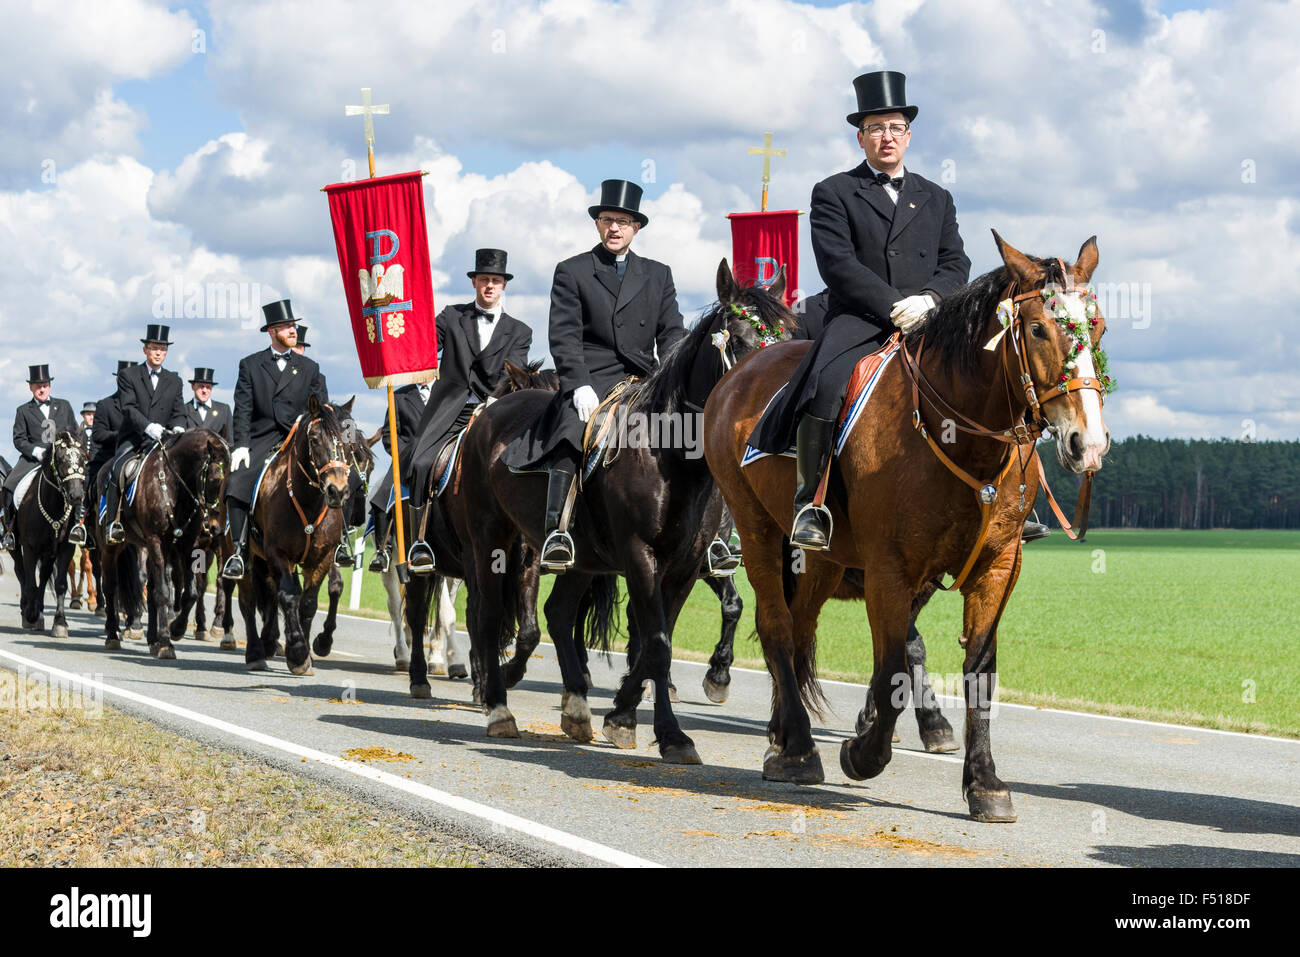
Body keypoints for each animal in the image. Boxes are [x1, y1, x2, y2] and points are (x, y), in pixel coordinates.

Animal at [7, 434, 88, 634]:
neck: (54, 507)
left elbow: (59, 584)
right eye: (60, 460)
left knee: (43, 576)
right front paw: (30, 615)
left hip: (49, 552)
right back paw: (28, 610)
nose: (76, 496)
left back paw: (40, 612)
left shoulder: (65, 548)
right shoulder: (29, 548)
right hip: (16, 546)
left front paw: (60, 623)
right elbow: (29, 582)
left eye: (83, 458)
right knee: (21, 571)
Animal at [236, 395, 351, 670]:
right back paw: (255, 652)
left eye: (346, 442)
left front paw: (306, 653)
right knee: (248, 600)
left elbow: (307, 603)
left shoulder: (321, 558)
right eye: (315, 439)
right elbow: (288, 596)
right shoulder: (278, 554)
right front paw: (297, 652)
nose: (338, 491)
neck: (307, 501)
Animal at [449, 260, 790, 754]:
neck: (669, 453)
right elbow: (658, 642)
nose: (769, 414)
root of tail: (487, 416)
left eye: (787, 341)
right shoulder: (639, 555)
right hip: (491, 540)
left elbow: (653, 641)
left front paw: (624, 715)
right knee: (489, 615)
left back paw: (576, 707)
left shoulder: (685, 565)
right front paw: (670, 735)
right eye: (741, 340)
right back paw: (497, 706)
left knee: (556, 614)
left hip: (582, 558)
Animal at [707, 234, 1112, 821]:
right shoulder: (890, 570)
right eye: (1038, 328)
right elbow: (895, 662)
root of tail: (740, 375)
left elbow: (979, 668)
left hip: (822, 560)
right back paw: (799, 750)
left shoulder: (999, 565)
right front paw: (864, 753)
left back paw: (783, 738)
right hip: (757, 527)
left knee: (799, 627)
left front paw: (985, 783)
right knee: (778, 625)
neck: (958, 438)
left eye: (1097, 327)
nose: (1089, 443)